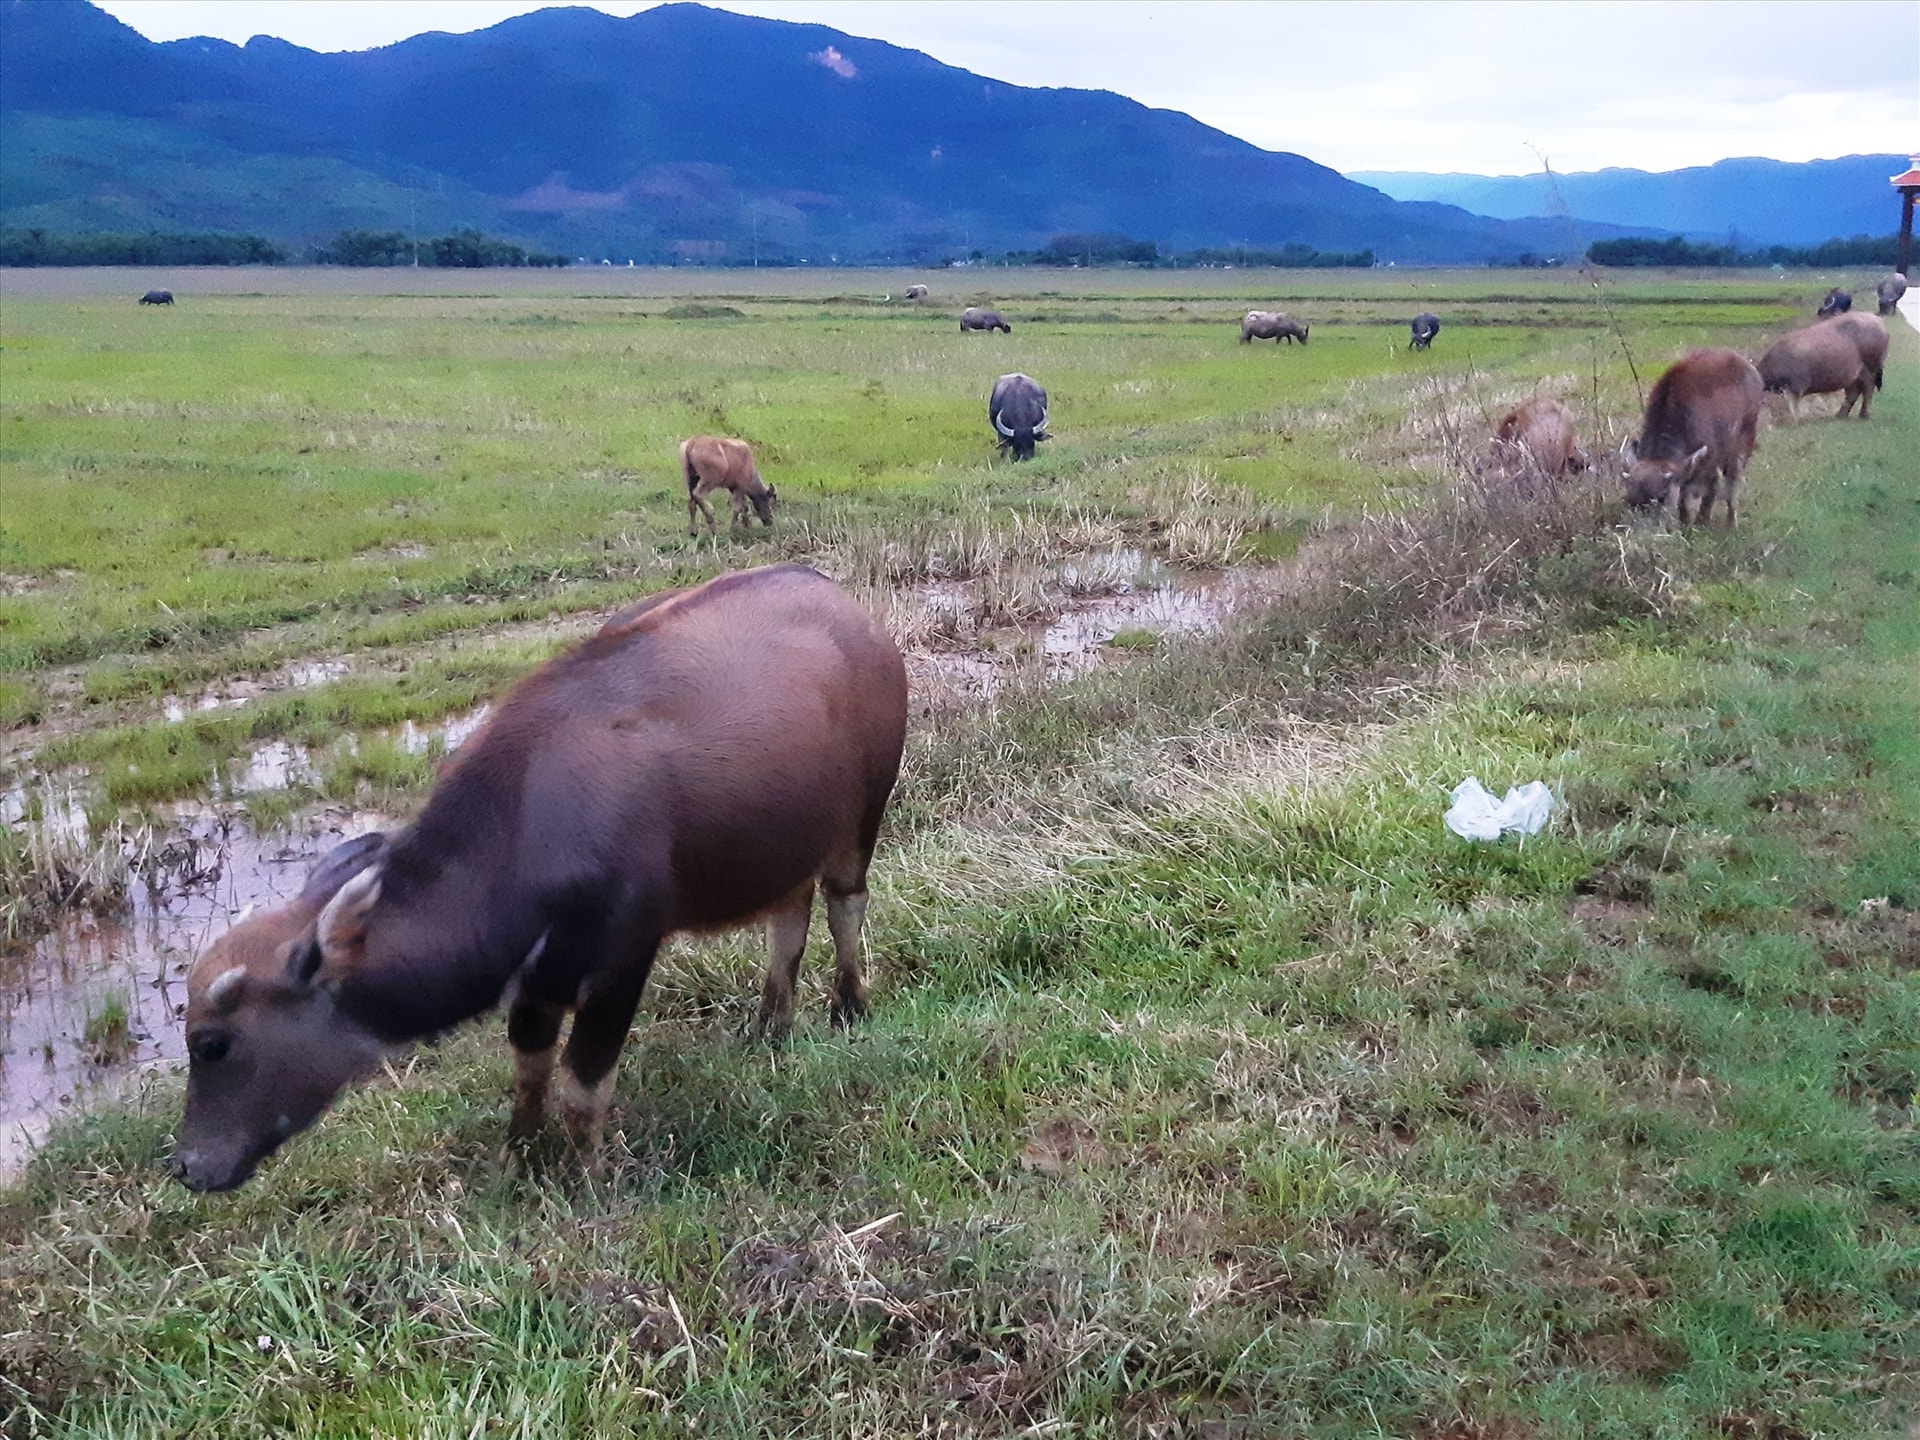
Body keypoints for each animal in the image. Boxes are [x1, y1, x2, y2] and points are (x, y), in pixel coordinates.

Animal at [172, 568, 906, 1198]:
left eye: (212, 1044)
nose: (188, 1167)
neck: (527, 833)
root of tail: (839, 602)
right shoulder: (535, 980)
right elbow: (529, 1068)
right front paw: (520, 1156)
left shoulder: (621, 962)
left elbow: (585, 1080)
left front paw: (587, 1177)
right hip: (787, 843)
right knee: (789, 918)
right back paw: (770, 1025)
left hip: (862, 817)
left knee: (845, 904)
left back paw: (848, 1008)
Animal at [1612, 347, 1758, 526]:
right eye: (1630, 501)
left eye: (1662, 497)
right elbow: (1682, 498)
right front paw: (1685, 522)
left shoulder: (1709, 461)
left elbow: (1710, 492)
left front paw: (1701, 523)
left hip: (1744, 441)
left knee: (1732, 481)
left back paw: (1731, 523)